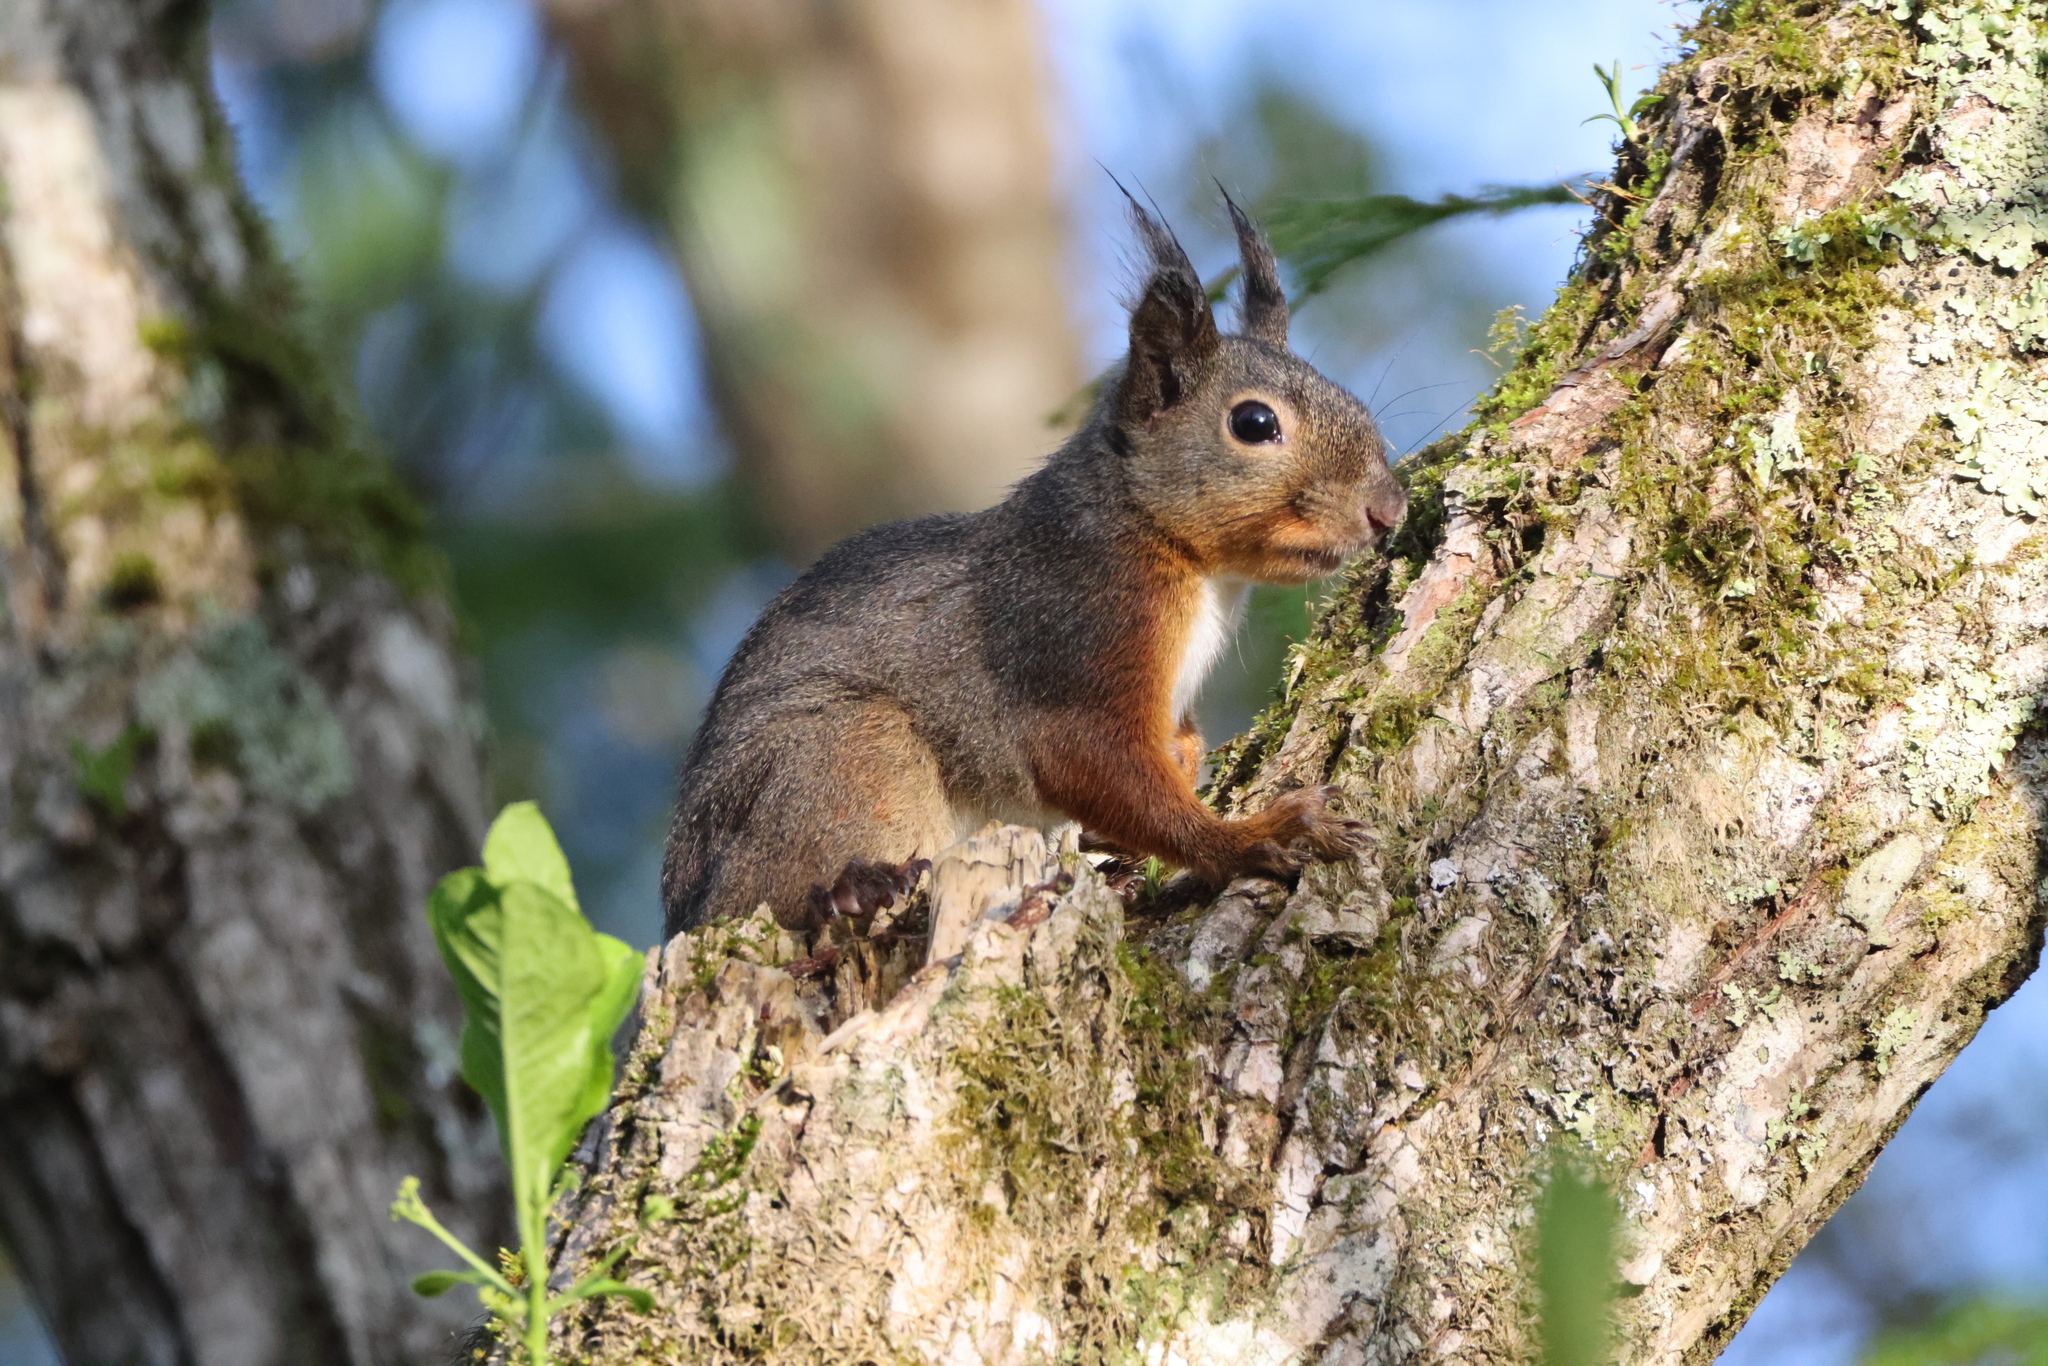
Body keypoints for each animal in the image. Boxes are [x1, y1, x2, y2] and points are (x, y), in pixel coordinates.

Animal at [661, 196, 1406, 938]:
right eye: (1254, 423)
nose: (1388, 508)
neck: (1163, 540)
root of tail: (683, 911)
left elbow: (1177, 748)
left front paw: (1178, 779)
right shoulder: (1072, 634)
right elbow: (1095, 766)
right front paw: (1257, 837)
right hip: (842, 755)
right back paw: (851, 890)